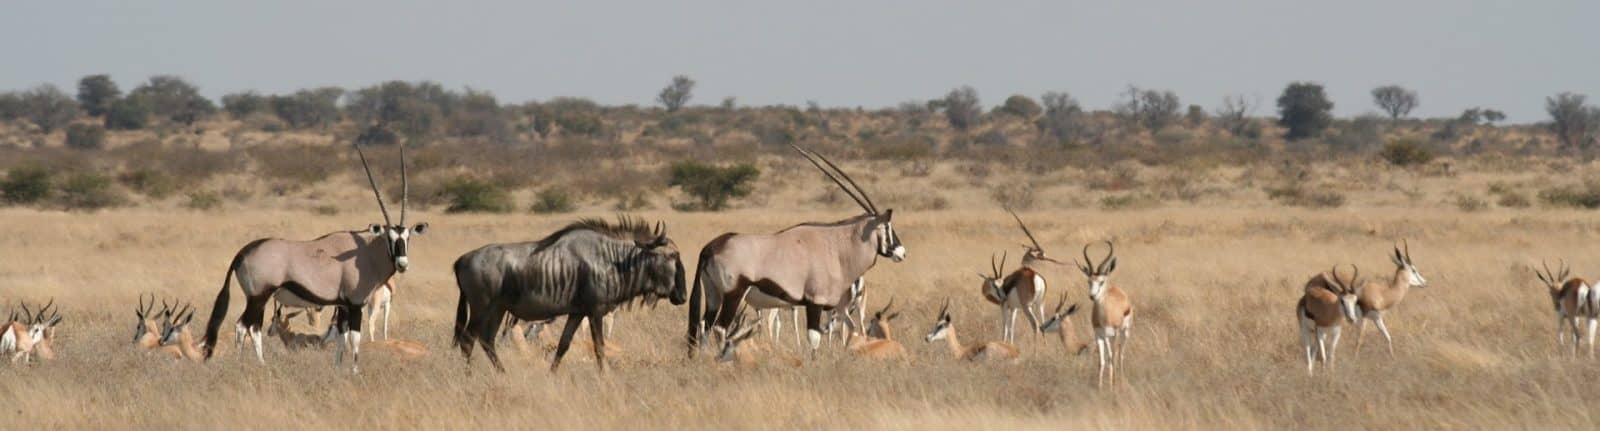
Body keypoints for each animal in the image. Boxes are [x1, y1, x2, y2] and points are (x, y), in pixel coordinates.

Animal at [200, 142, 426, 373]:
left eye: (407, 238)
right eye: (390, 238)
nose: (402, 264)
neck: (365, 253)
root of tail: (243, 252)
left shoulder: (342, 306)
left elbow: (342, 338)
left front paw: (338, 368)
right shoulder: (355, 305)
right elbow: (355, 339)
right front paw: (354, 371)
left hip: (257, 299)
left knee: (253, 327)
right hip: (259, 296)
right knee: (243, 326)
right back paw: (246, 364)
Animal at [689, 145, 905, 358]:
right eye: (887, 226)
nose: (902, 253)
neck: (836, 246)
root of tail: (711, 247)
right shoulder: (815, 302)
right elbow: (814, 338)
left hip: (713, 294)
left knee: (705, 325)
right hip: (733, 294)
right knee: (720, 328)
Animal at [1077, 241, 1131, 388]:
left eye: (1101, 282)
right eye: (1089, 281)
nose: (1092, 296)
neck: (1104, 316)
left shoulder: (1113, 333)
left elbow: (1112, 357)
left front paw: (1113, 385)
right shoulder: (1099, 335)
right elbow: (1101, 361)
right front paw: (1100, 386)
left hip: (1124, 332)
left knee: (1120, 354)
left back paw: (1121, 379)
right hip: (1109, 337)